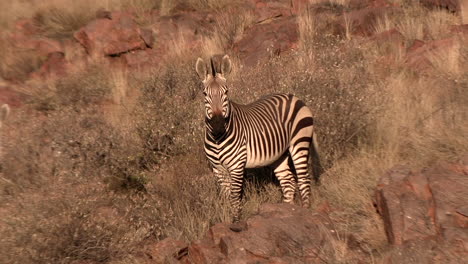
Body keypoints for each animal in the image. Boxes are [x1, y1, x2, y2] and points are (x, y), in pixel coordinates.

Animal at [195, 54, 322, 224]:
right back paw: (288, 213)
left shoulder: (236, 165)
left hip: (299, 142)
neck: (217, 138)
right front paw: (227, 219)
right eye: (204, 94)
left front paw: (236, 222)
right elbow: (225, 198)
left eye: (226, 92)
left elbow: (235, 197)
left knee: (303, 180)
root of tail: (295, 97)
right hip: (279, 154)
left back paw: (304, 212)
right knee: (288, 181)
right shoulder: (218, 169)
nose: (218, 124)